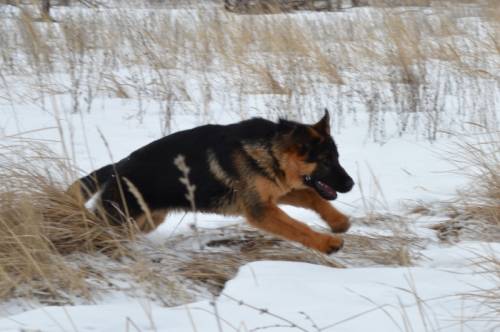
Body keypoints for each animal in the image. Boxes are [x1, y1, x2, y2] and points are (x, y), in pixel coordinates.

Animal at [67, 110, 356, 253]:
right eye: (327, 161)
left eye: (337, 158)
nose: (351, 184)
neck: (271, 149)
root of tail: (116, 167)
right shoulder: (261, 210)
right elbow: (298, 227)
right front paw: (326, 243)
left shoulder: (274, 192)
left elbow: (312, 197)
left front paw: (338, 222)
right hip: (120, 218)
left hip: (146, 220)